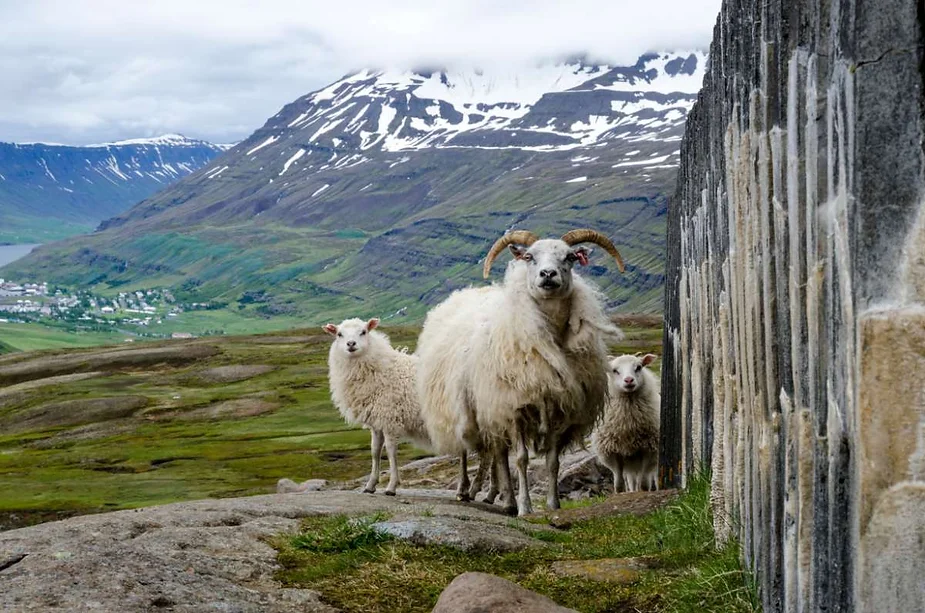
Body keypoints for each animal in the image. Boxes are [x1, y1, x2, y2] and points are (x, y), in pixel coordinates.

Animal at [324, 318, 428, 494]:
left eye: (363, 332)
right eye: (339, 334)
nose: (351, 344)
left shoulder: (389, 418)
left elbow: (391, 451)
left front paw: (392, 486)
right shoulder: (376, 421)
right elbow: (375, 451)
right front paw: (370, 485)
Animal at [418, 227, 628, 512]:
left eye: (570, 257)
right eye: (529, 257)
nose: (548, 274)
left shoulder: (557, 409)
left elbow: (552, 462)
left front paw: (552, 504)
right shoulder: (514, 407)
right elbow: (521, 459)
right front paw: (525, 507)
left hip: (490, 408)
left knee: (496, 453)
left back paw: (500, 496)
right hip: (462, 405)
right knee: (465, 448)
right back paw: (465, 490)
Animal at [596, 352, 660, 490]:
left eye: (639, 367)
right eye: (614, 370)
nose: (629, 380)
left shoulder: (649, 450)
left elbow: (644, 485)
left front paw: (643, 491)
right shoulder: (613, 452)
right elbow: (619, 484)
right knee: (632, 482)